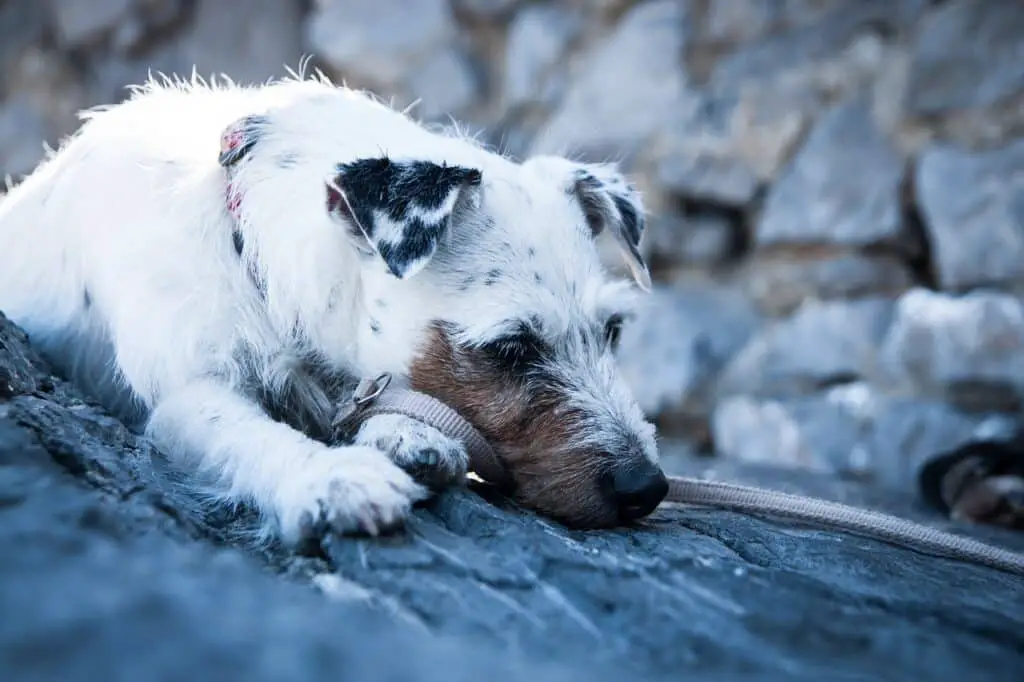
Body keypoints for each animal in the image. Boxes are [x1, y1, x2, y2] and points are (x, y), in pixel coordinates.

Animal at [0, 69, 667, 544]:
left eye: (612, 331)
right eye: (510, 347)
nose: (648, 487)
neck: (246, 239)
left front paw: (404, 431)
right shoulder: (188, 392)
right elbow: (247, 433)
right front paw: (331, 476)